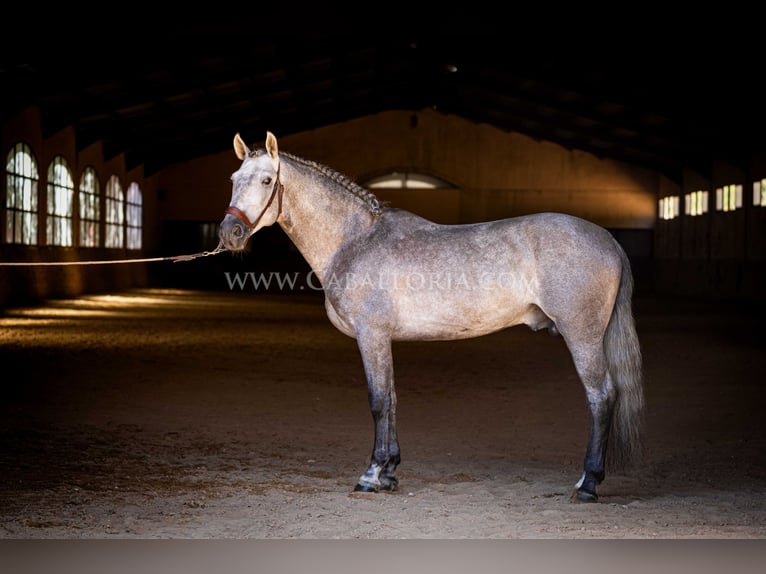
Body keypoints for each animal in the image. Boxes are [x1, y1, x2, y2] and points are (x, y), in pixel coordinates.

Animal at [219, 134, 644, 504]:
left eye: (267, 180)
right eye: (234, 180)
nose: (231, 233)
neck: (355, 240)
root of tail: (607, 238)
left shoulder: (371, 335)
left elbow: (377, 401)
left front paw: (371, 476)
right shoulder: (383, 339)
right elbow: (392, 398)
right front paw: (389, 472)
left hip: (582, 335)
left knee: (601, 396)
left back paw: (587, 484)